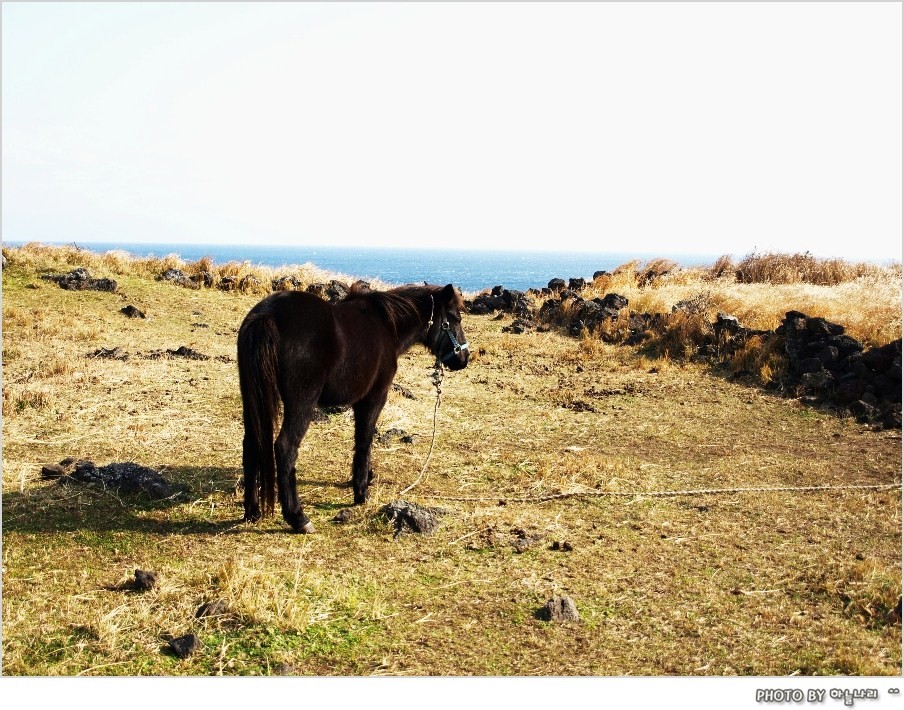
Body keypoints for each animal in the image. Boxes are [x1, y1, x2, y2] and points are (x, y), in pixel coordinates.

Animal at [237, 284, 470, 536]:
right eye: (455, 318)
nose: (464, 358)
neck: (387, 325)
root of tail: (267, 315)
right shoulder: (374, 397)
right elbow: (365, 439)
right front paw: (361, 491)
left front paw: (366, 478)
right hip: (301, 405)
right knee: (285, 447)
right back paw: (298, 518)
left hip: (252, 400)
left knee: (251, 446)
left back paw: (252, 511)